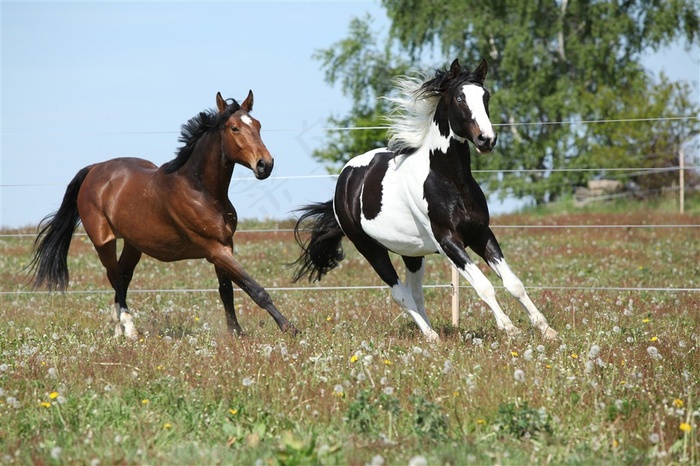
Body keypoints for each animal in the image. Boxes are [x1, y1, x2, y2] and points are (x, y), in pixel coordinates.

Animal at [28, 91, 296, 338]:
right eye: (234, 128)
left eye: (258, 125)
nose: (265, 164)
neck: (201, 190)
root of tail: (94, 169)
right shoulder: (214, 248)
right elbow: (254, 289)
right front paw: (289, 328)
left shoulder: (224, 245)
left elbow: (226, 290)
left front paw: (236, 333)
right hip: (103, 241)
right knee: (114, 276)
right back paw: (129, 328)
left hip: (134, 244)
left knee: (123, 275)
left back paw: (118, 329)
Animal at [294, 59, 556, 342]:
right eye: (460, 97)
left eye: (486, 96)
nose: (486, 139)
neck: (450, 181)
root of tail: (345, 179)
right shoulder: (449, 242)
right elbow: (484, 286)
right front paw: (510, 329)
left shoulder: (481, 234)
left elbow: (513, 283)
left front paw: (546, 329)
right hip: (370, 249)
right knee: (400, 293)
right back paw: (431, 336)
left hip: (412, 253)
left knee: (415, 292)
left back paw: (433, 335)